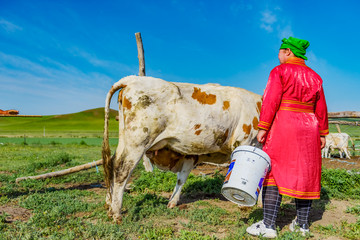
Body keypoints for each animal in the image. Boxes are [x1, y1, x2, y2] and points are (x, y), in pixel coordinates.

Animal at [101, 76, 262, 222]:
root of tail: (132, 79)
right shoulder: (246, 141)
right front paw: (247, 205)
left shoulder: (190, 155)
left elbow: (181, 179)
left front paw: (172, 202)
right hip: (137, 141)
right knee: (122, 169)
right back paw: (116, 213)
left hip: (125, 139)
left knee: (111, 164)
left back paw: (109, 205)